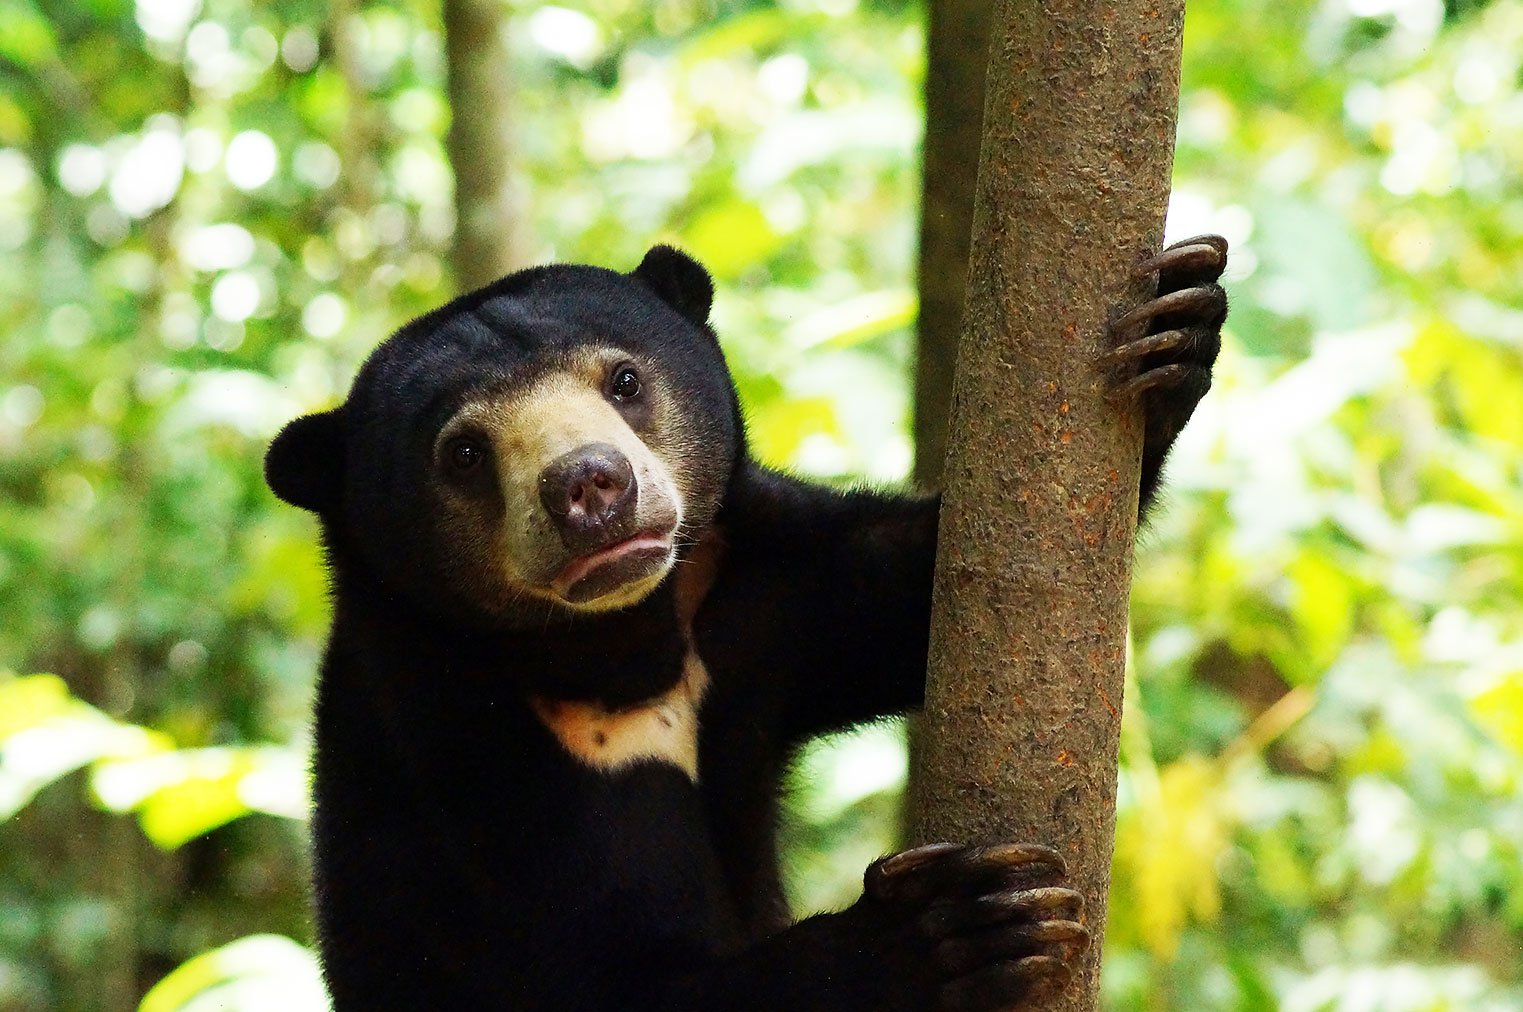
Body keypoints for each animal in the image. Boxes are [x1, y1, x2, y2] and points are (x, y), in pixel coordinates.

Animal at [264, 237, 1227, 1012]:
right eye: (462, 452)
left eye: (623, 380)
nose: (589, 486)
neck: (618, 646)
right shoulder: (465, 761)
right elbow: (604, 977)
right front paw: (951, 928)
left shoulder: (756, 602)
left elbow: (897, 599)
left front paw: (1176, 323)